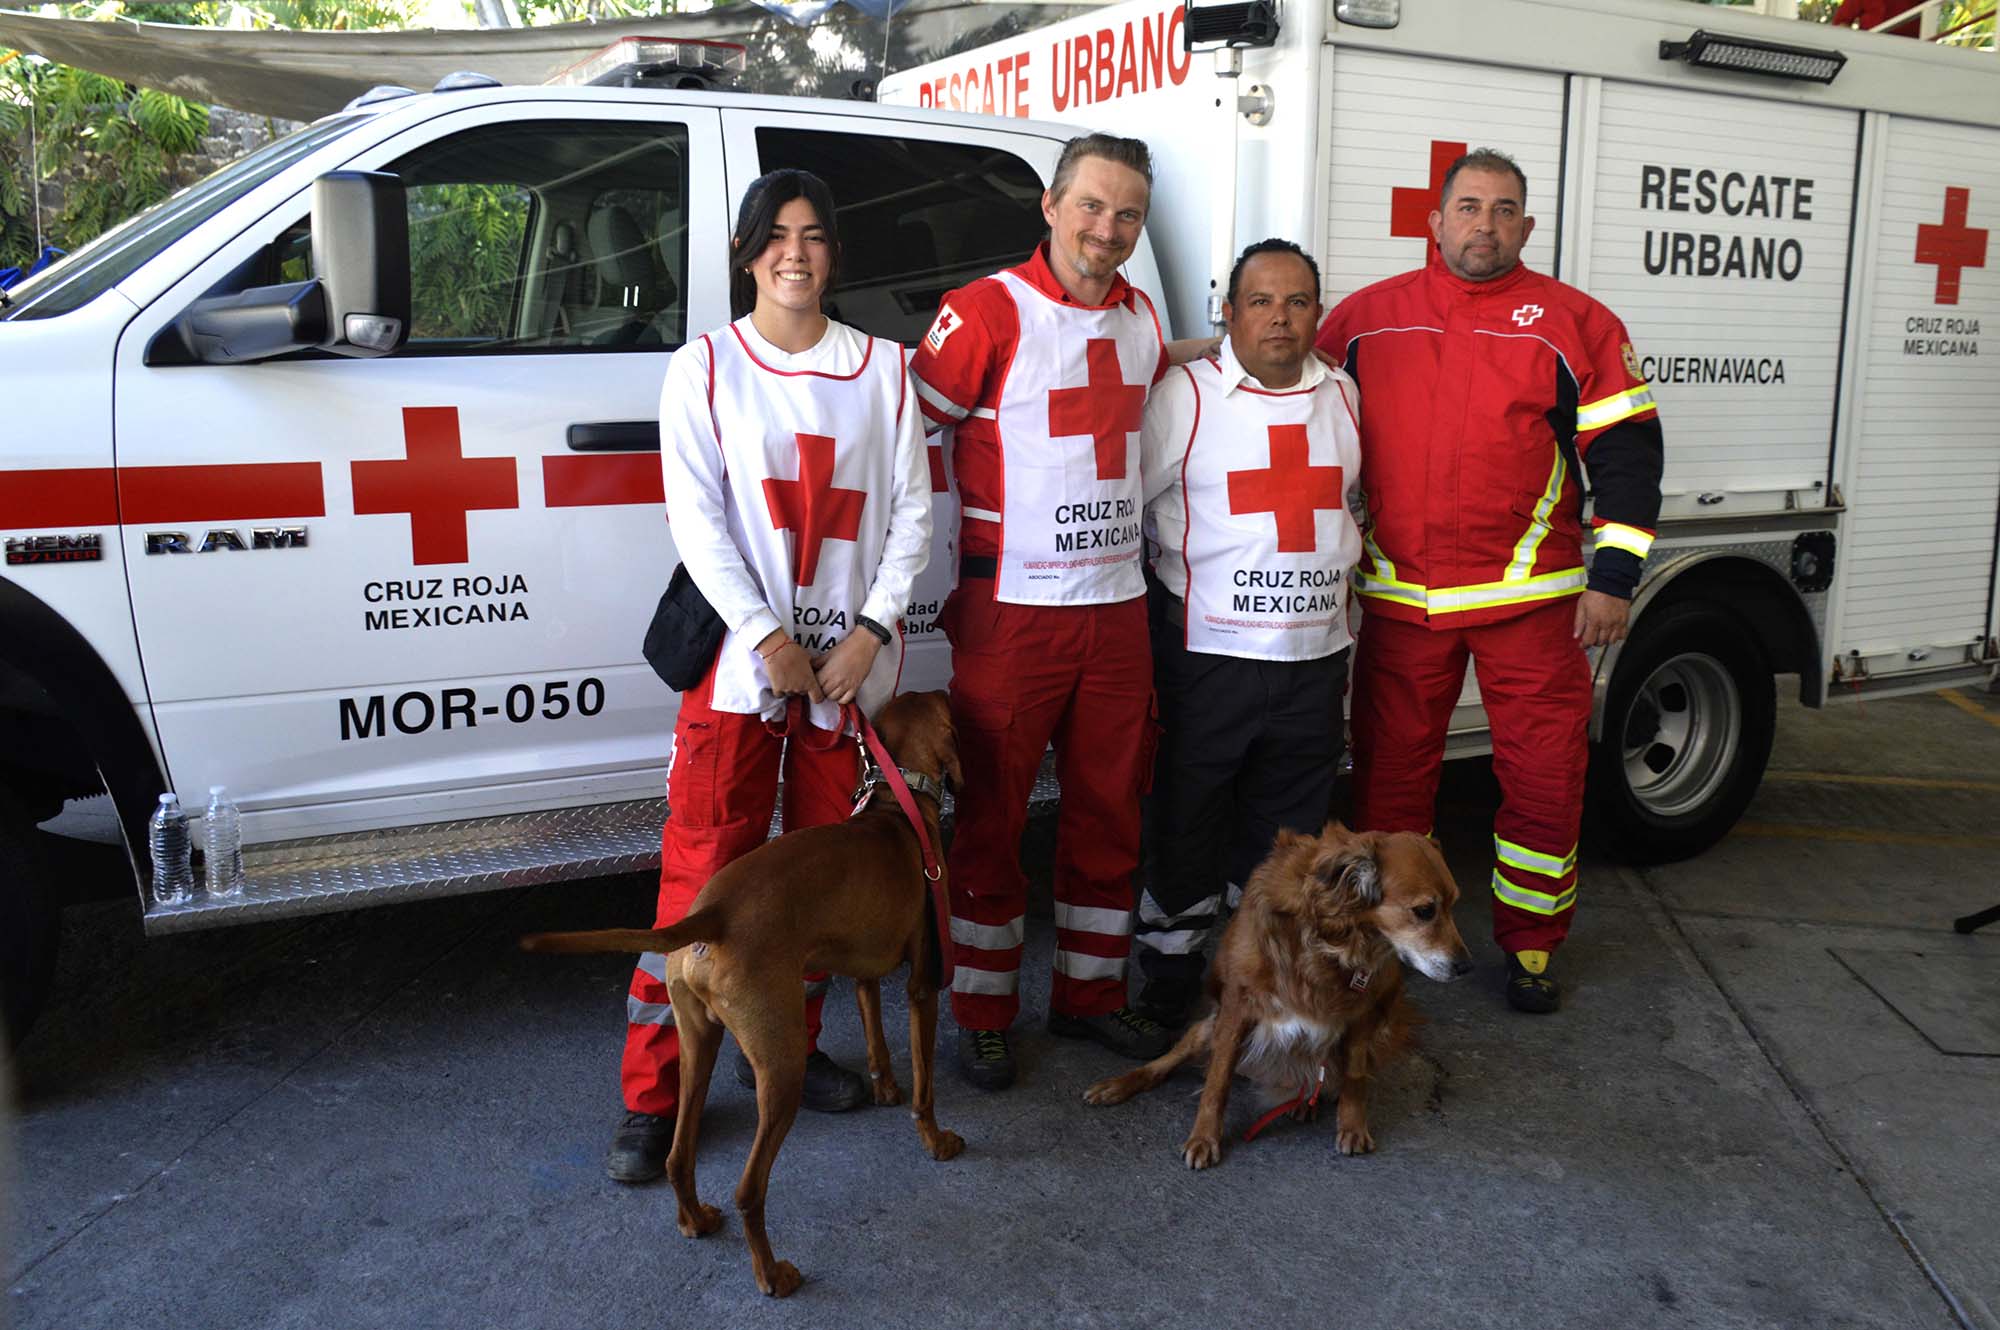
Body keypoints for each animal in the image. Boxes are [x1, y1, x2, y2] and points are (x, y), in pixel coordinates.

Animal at [520, 688, 964, 1288]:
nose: (949, 688)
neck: (897, 808)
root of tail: (712, 915)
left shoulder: (864, 972)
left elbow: (876, 1040)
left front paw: (886, 1089)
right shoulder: (923, 984)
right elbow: (926, 1089)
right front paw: (936, 1140)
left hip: (698, 1045)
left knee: (678, 1155)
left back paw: (696, 1220)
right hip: (781, 1067)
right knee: (749, 1190)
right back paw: (772, 1274)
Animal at [1080, 824, 1472, 1168]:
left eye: (1454, 903)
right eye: (1424, 911)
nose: (1466, 967)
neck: (1332, 936)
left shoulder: (1362, 1014)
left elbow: (1355, 1079)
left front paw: (1352, 1126)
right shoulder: (1236, 1009)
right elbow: (1216, 1085)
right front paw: (1205, 1137)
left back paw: (1304, 1103)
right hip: (1207, 1029)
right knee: (1164, 1064)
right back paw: (1117, 1085)